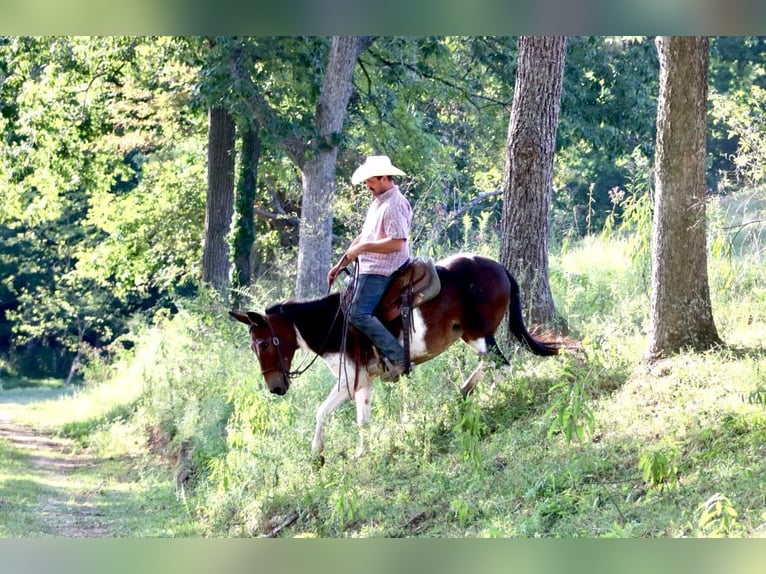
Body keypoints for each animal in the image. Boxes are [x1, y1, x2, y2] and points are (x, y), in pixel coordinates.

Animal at [228, 254, 560, 462]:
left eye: (264, 344)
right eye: (254, 347)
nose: (276, 388)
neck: (332, 323)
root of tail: (500, 268)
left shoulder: (348, 381)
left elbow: (321, 412)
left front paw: (316, 454)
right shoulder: (363, 382)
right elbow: (362, 420)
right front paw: (361, 452)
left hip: (479, 334)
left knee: (500, 365)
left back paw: (486, 399)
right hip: (470, 335)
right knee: (491, 365)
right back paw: (464, 394)